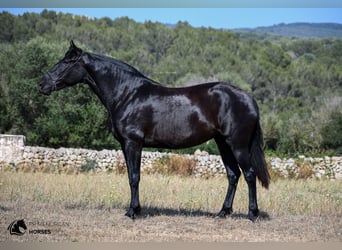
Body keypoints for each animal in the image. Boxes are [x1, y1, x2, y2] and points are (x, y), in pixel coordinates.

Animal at [39, 40, 270, 221]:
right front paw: (134, 209)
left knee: (249, 174)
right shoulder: (125, 144)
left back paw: (252, 214)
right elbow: (131, 176)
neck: (127, 94)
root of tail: (248, 99)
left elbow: (134, 177)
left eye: (67, 62)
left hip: (237, 145)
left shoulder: (133, 143)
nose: (42, 83)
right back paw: (223, 212)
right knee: (233, 174)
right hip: (223, 143)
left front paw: (132, 212)